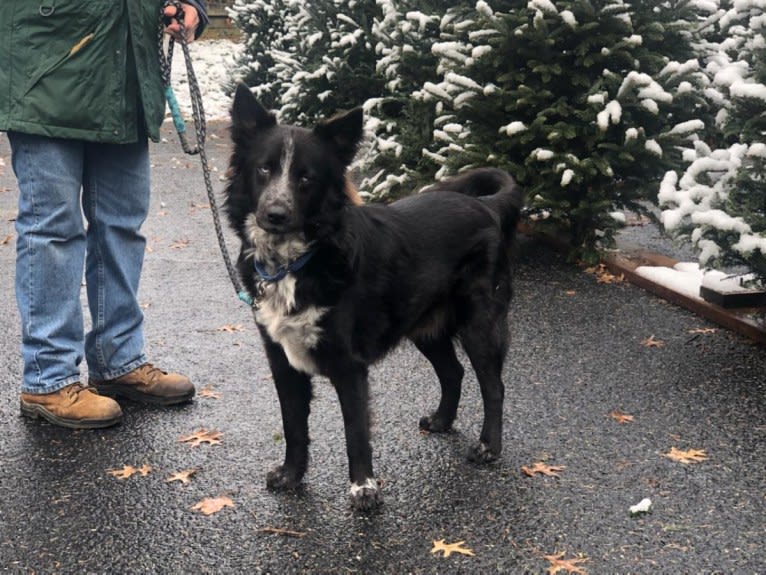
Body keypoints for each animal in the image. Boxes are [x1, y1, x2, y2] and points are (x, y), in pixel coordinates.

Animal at [222, 84, 520, 508]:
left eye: (306, 178)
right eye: (264, 169)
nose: (275, 214)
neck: (297, 260)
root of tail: (486, 206)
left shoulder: (349, 365)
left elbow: (356, 431)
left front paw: (364, 488)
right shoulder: (282, 360)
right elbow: (293, 425)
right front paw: (292, 476)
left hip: (480, 322)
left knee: (493, 386)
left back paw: (488, 447)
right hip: (424, 326)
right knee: (453, 371)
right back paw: (442, 421)